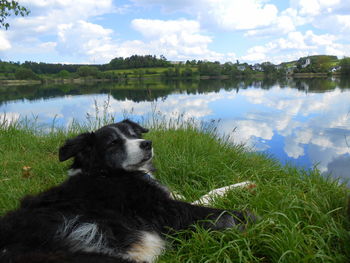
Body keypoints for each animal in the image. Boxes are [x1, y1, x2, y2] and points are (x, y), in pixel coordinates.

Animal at [0, 120, 258, 263]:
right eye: (113, 143)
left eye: (134, 134)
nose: (147, 144)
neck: (108, 173)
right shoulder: (166, 210)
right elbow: (213, 212)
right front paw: (252, 219)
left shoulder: (168, 199)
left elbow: (209, 193)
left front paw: (245, 184)